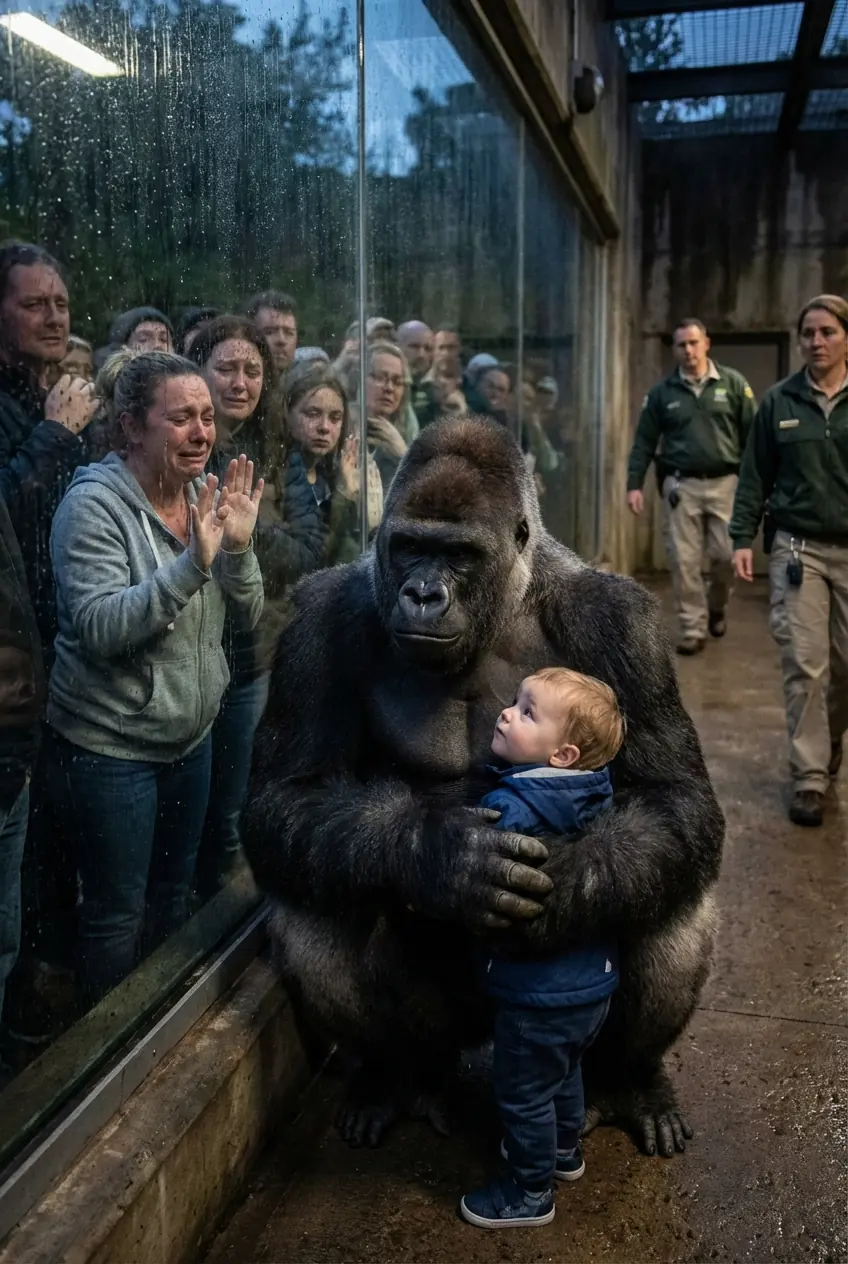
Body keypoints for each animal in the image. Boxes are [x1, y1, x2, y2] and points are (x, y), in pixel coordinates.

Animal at [243, 415, 724, 1159]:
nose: (422, 594)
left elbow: (677, 798)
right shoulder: (319, 621)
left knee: (668, 889)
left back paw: (630, 1080)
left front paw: (572, 881)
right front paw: (440, 859)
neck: (507, 599)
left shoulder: (621, 623)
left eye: (459, 555)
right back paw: (395, 1077)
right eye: (410, 546)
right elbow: (285, 795)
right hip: (448, 1026)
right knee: (316, 910)